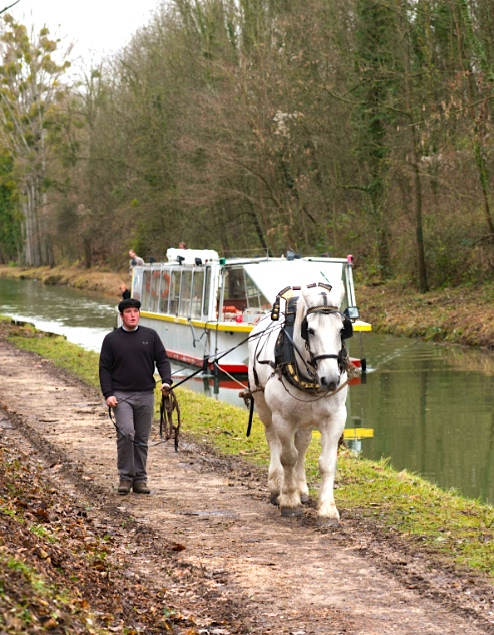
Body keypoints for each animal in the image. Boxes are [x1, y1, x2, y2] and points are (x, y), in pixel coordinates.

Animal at [249, 284, 354, 528]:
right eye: (311, 330)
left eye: (341, 330)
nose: (331, 380)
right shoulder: (282, 418)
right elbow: (288, 456)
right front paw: (289, 500)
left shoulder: (335, 418)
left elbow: (326, 463)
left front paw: (327, 510)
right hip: (263, 406)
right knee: (273, 440)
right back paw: (276, 485)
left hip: (306, 418)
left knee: (303, 444)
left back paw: (301, 487)